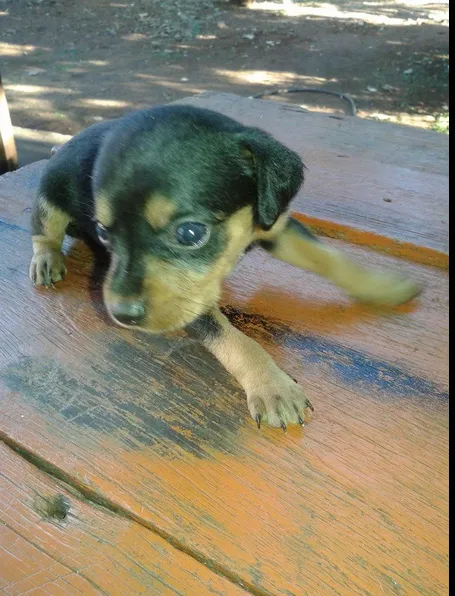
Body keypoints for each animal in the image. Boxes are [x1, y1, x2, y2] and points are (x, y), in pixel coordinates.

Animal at [27, 106, 420, 428]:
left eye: (190, 233)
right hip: (50, 195)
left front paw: (382, 287)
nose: (121, 315)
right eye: (104, 233)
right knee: (44, 228)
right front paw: (272, 386)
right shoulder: (190, 305)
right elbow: (236, 340)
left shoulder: (275, 225)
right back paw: (47, 259)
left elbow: (329, 258)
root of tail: (63, 146)